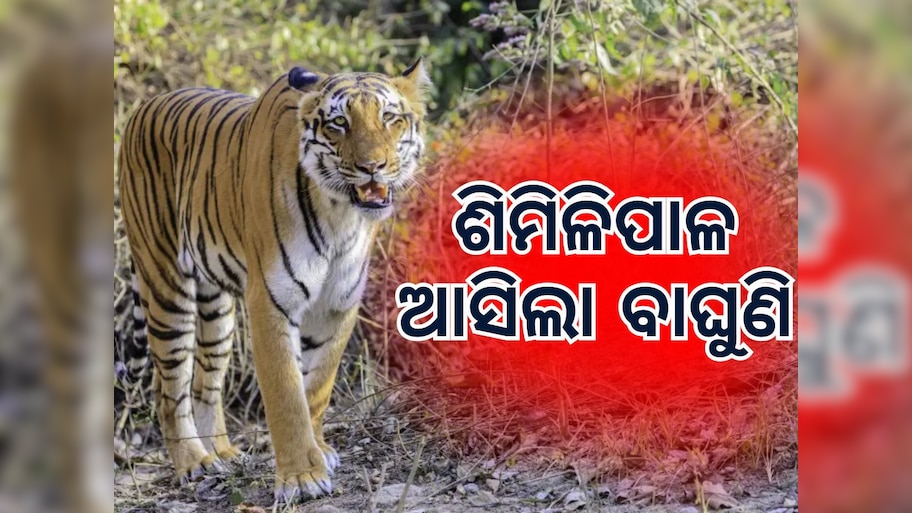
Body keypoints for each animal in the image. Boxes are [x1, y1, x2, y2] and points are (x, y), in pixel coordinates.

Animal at [118, 60, 430, 502]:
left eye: (389, 118)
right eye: (339, 122)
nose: (373, 166)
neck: (341, 216)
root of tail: (145, 105)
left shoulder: (338, 305)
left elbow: (316, 387)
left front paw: (319, 451)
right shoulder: (270, 300)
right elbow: (286, 394)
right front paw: (302, 477)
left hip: (217, 311)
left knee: (205, 383)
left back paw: (224, 453)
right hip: (166, 284)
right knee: (170, 388)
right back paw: (195, 462)